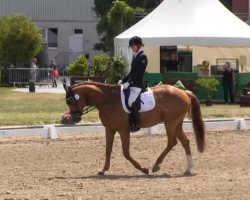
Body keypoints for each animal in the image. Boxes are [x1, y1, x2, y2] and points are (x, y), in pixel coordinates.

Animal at [65, 81, 206, 175]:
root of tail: (184, 92)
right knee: (185, 142)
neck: (107, 100)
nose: (74, 118)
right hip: (176, 123)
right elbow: (108, 150)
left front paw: (143, 169)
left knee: (172, 142)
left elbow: (126, 153)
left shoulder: (123, 130)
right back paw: (188, 169)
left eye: (70, 101)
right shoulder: (110, 129)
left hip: (170, 122)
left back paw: (156, 166)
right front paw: (103, 170)